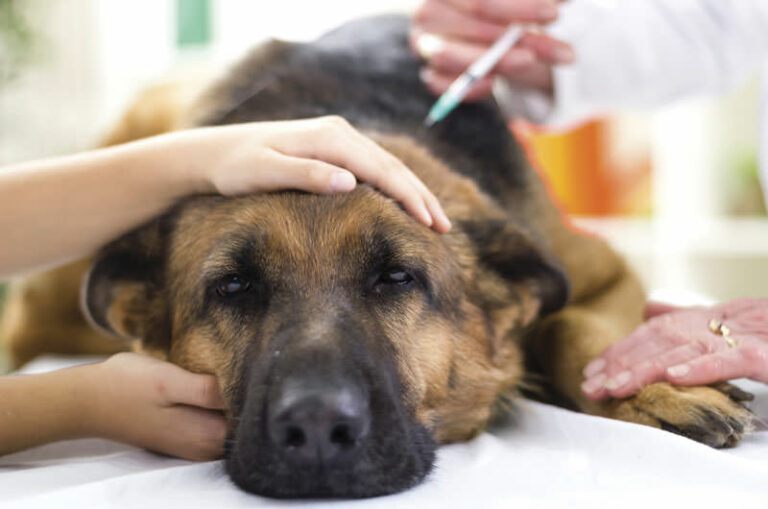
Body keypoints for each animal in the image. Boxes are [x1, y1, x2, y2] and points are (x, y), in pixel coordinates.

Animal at [0, 14, 752, 496]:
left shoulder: (602, 272)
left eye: (397, 277)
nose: (315, 427)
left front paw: (653, 388)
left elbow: (572, 323)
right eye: (234, 287)